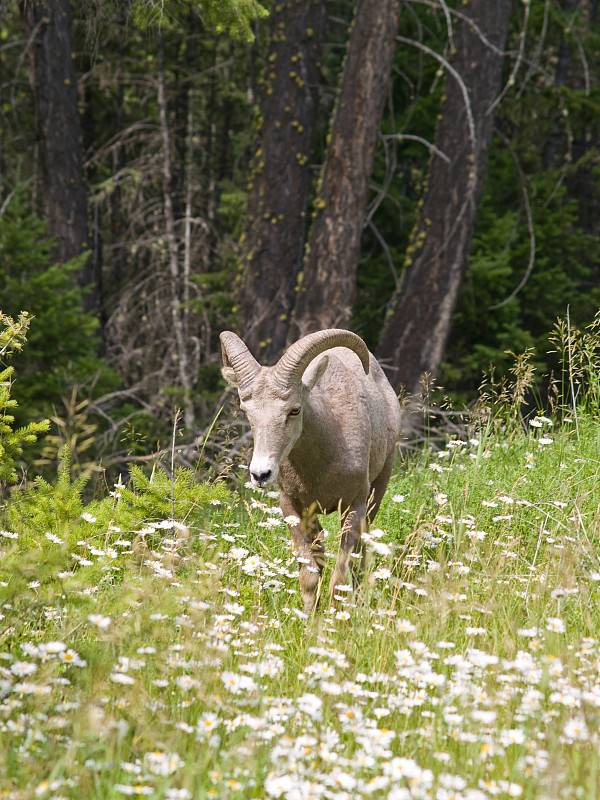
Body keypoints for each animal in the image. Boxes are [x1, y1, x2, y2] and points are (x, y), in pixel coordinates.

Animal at [218, 326, 400, 612]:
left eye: (294, 410)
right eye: (247, 412)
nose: (260, 474)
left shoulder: (355, 506)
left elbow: (340, 578)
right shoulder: (293, 507)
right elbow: (309, 575)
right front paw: (308, 619)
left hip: (379, 487)